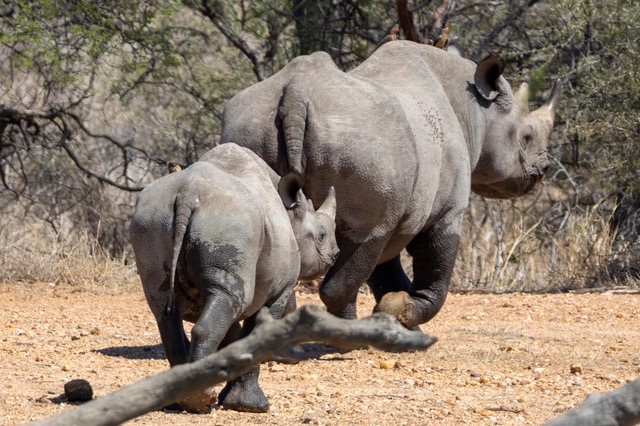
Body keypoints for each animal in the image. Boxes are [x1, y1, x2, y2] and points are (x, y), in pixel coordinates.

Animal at [129, 143, 339, 413]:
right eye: (321, 235)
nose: (335, 254)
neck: (290, 214)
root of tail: (187, 192)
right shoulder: (278, 291)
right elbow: (251, 335)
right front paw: (251, 406)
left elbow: (231, 335)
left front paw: (231, 397)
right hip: (230, 223)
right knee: (221, 301)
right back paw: (199, 400)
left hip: (151, 221)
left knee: (165, 308)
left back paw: (181, 400)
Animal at [220, 41, 561, 328]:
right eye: (526, 136)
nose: (543, 169)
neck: (476, 110)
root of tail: (295, 96)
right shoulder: (446, 209)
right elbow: (434, 264)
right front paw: (404, 312)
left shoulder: (400, 206)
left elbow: (385, 271)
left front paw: (396, 315)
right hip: (366, 142)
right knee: (364, 238)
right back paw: (345, 334)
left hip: (251, 125)